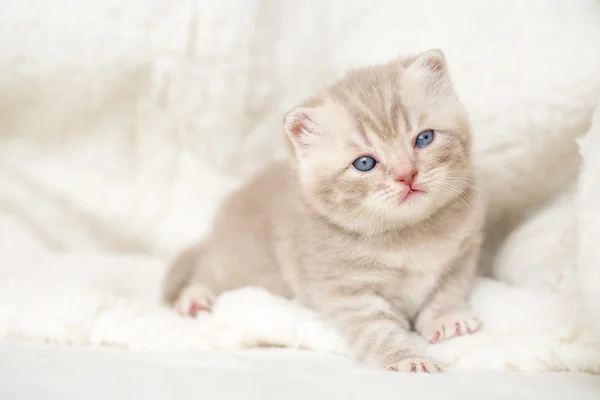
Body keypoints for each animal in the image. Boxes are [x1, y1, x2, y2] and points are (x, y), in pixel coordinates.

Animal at [163, 49, 482, 372]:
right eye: (364, 163)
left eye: (424, 138)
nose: (407, 175)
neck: (409, 233)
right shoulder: (348, 293)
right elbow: (378, 331)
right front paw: (407, 358)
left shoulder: (461, 255)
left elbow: (447, 290)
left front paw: (447, 319)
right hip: (237, 263)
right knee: (207, 270)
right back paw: (195, 296)